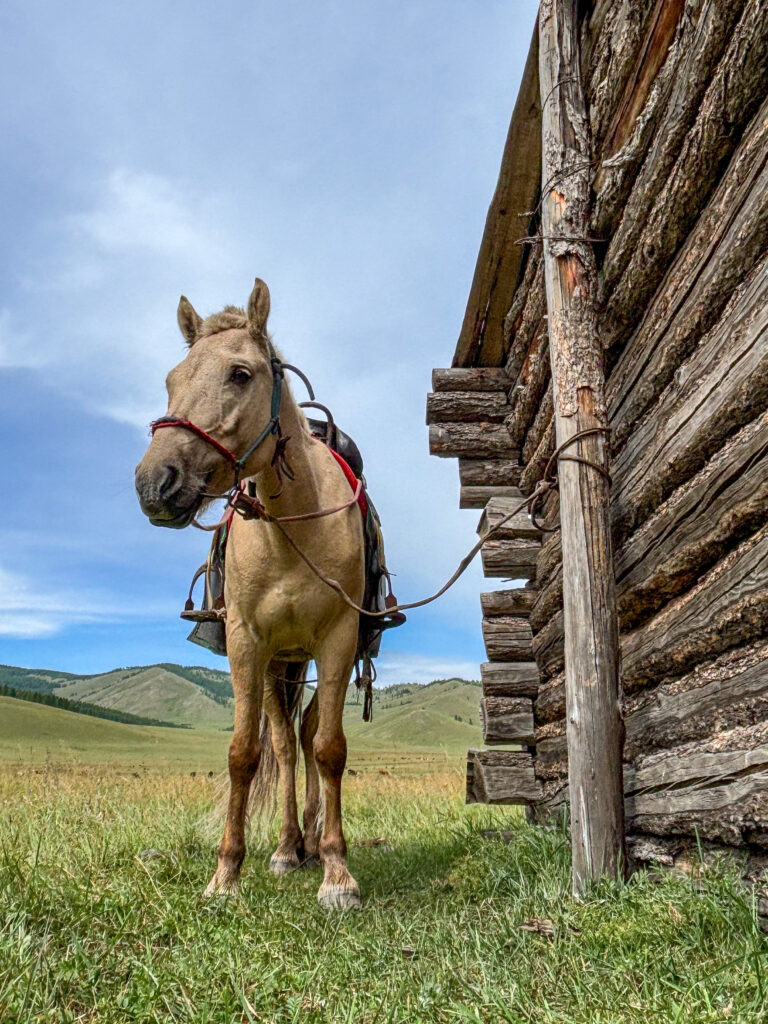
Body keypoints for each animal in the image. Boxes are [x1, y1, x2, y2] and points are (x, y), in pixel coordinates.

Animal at [135, 278, 365, 910]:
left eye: (240, 374)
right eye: (171, 378)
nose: (154, 483)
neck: (292, 527)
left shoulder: (338, 638)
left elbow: (330, 749)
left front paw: (338, 873)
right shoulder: (246, 642)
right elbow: (245, 753)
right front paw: (224, 875)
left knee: (307, 736)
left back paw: (311, 841)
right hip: (277, 663)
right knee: (285, 744)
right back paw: (288, 848)